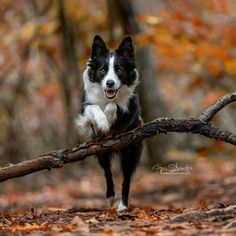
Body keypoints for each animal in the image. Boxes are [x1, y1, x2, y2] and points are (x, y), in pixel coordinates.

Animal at [75, 35, 142, 212]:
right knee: (107, 172)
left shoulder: (130, 109)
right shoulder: (86, 108)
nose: (110, 83)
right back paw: (110, 197)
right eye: (102, 70)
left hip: (130, 151)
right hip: (101, 152)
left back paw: (123, 206)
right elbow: (95, 108)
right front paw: (103, 122)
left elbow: (114, 106)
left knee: (126, 180)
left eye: (119, 69)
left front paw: (109, 117)